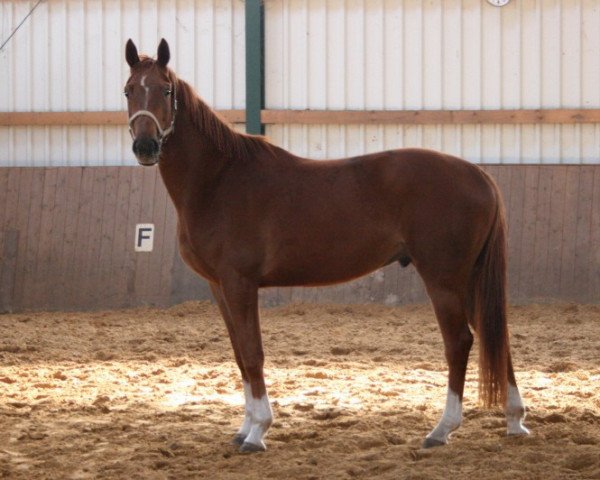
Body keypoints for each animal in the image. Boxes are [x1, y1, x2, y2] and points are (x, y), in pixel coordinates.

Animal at [124, 39, 528, 452]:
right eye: (129, 90)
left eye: (166, 90)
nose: (146, 146)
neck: (219, 180)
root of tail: (478, 174)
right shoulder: (218, 286)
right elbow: (238, 355)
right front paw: (244, 427)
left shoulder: (240, 283)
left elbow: (252, 354)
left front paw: (258, 430)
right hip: (471, 279)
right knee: (495, 334)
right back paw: (514, 419)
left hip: (444, 279)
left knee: (460, 341)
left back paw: (442, 428)